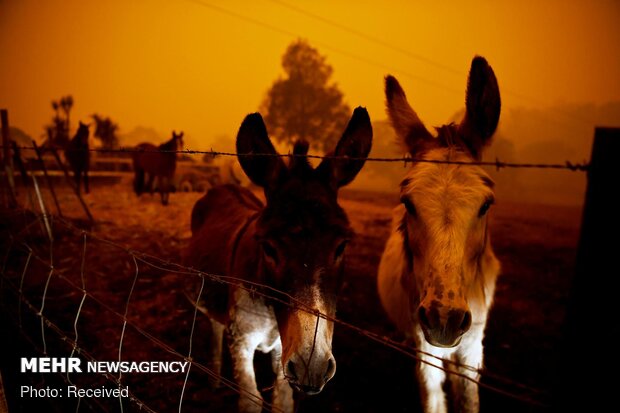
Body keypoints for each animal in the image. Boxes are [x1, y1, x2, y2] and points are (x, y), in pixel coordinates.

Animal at [186, 108, 372, 410]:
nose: (312, 367)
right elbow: (250, 400)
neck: (271, 308)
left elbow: (282, 401)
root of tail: (224, 186)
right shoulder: (241, 341)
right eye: (269, 248)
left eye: (342, 246)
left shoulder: (283, 348)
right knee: (215, 324)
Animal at [376, 55, 502, 412]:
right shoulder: (425, 341)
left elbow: (468, 394)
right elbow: (433, 395)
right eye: (408, 202)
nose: (444, 320)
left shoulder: (473, 344)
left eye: (486, 205)